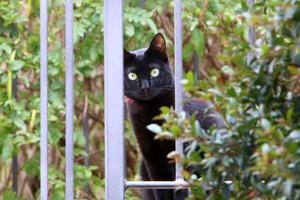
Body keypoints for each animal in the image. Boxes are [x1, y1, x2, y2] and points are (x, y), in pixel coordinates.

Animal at [124, 33, 225, 199]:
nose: (145, 87)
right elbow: (160, 187)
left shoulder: (187, 148)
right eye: (132, 75)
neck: (152, 111)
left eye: (154, 72)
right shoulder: (151, 156)